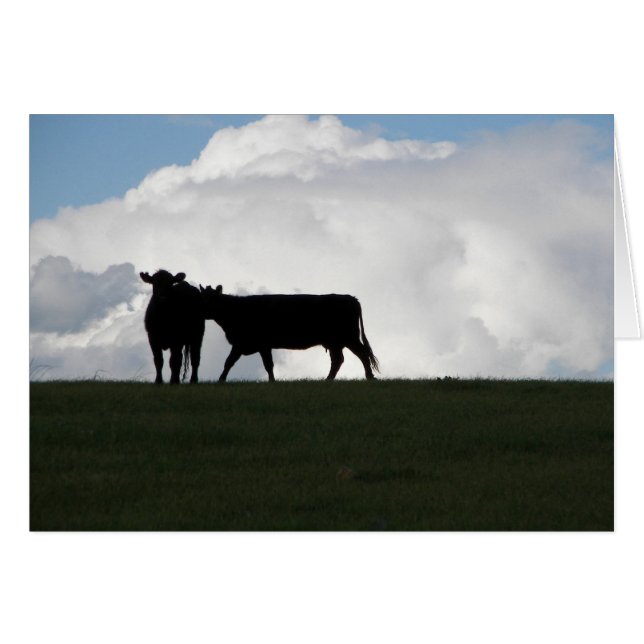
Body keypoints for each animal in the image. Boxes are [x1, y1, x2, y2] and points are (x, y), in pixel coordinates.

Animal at [199, 284, 379, 381]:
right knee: (339, 360)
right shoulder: (260, 346)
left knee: (361, 354)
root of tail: (351, 298)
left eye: (210, 299)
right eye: (202, 297)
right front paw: (272, 381)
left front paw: (220, 380)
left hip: (348, 337)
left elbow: (229, 362)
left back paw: (369, 377)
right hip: (336, 342)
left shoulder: (243, 343)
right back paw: (328, 379)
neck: (235, 310)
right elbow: (267, 365)